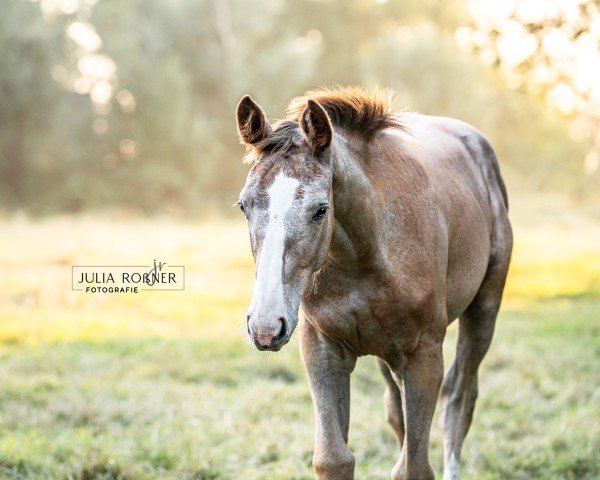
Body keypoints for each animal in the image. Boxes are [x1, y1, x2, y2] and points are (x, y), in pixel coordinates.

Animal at [234, 87, 510, 480]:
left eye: (320, 209)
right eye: (244, 206)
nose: (265, 326)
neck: (364, 257)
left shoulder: (423, 354)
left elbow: (414, 467)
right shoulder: (322, 349)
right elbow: (333, 459)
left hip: (483, 309)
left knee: (458, 402)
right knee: (398, 410)